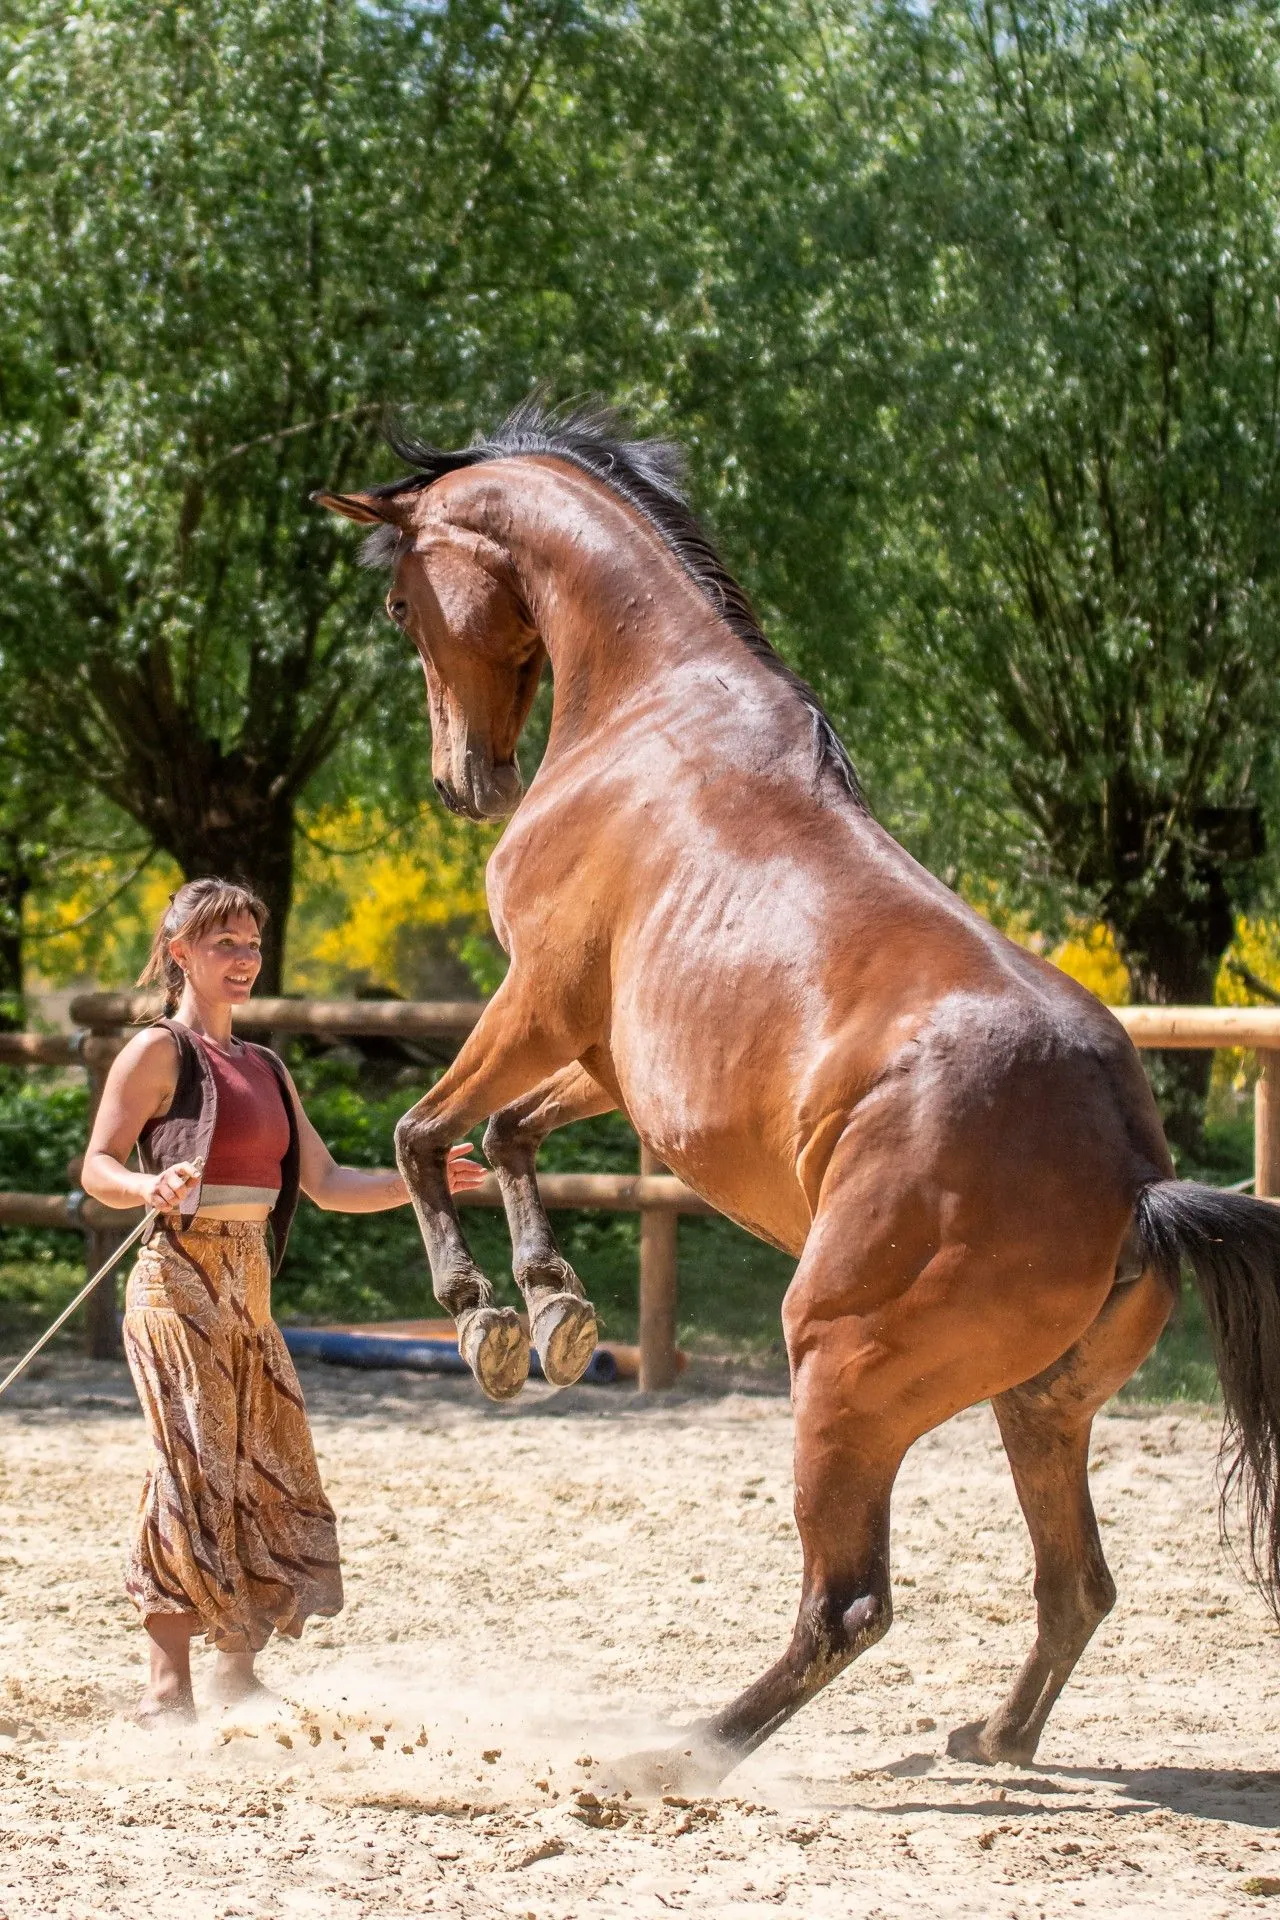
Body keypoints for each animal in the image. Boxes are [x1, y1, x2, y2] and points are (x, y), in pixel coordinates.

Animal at [313, 401, 1280, 1789]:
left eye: (400, 602)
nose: (463, 785)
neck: (648, 708)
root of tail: (1137, 1176)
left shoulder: (536, 1002)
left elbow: (421, 1131)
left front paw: (481, 1318)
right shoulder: (609, 1062)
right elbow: (502, 1132)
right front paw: (554, 1307)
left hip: (839, 1365)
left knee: (850, 1602)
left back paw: (679, 1755)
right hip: (1037, 1406)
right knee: (1073, 1586)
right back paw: (987, 1738)